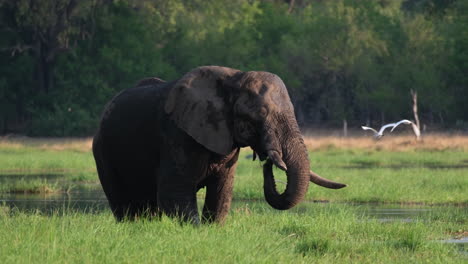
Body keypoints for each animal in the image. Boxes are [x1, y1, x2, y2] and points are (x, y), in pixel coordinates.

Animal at [92, 65, 348, 223]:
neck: (235, 78)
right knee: (124, 203)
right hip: (102, 151)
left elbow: (222, 191)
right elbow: (174, 194)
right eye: (261, 114)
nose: (267, 161)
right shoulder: (176, 135)